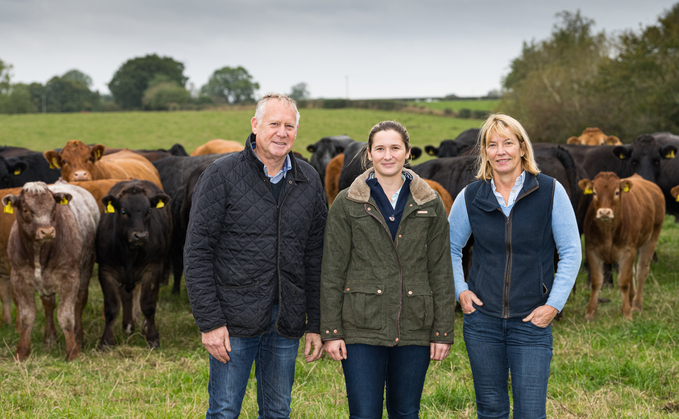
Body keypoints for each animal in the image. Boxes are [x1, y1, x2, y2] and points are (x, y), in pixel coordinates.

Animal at [1, 180, 98, 360]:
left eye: (53, 209)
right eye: (26, 210)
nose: (47, 231)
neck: (39, 253)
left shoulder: (70, 279)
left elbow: (66, 317)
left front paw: (73, 351)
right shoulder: (18, 279)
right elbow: (27, 317)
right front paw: (22, 351)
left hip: (86, 268)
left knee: (80, 301)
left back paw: (78, 337)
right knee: (48, 304)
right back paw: (49, 338)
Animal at [580, 172, 664, 320]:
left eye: (617, 192)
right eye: (594, 192)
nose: (604, 212)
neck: (608, 232)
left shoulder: (628, 251)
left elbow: (623, 283)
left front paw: (627, 314)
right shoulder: (592, 251)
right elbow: (596, 282)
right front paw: (590, 313)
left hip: (653, 235)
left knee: (641, 271)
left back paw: (636, 305)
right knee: (632, 273)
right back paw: (631, 299)